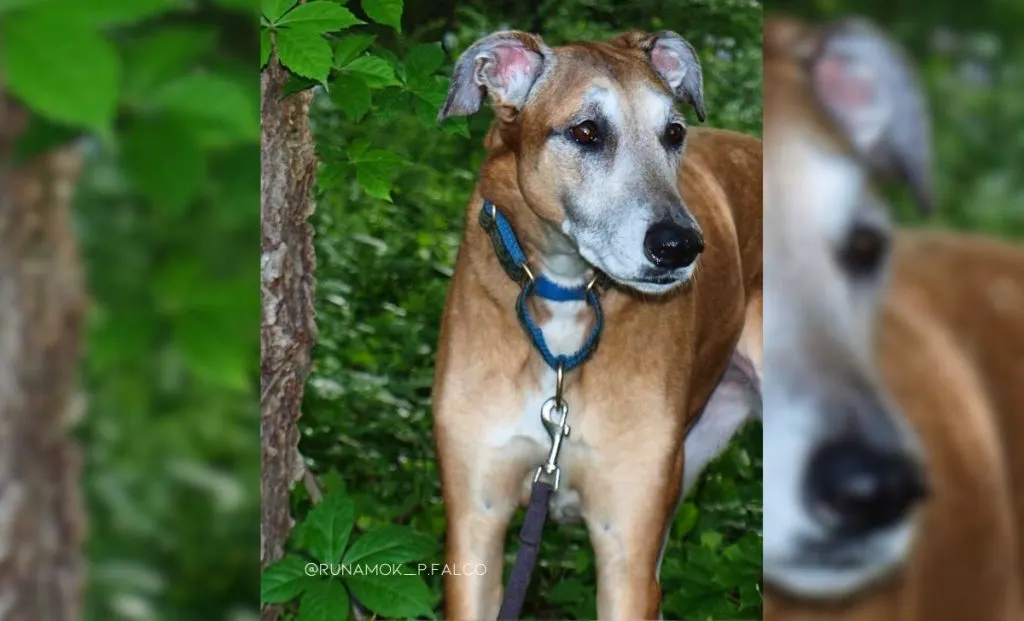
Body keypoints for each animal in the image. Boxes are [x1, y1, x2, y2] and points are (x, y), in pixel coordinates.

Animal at [430, 29, 761, 618]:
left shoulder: (626, 549)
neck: (564, 298)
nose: (680, 246)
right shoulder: (475, 527)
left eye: (674, 132)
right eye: (586, 131)